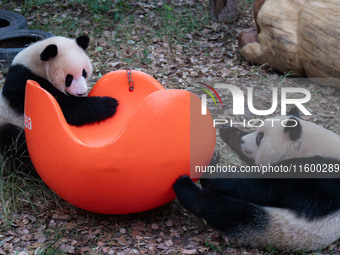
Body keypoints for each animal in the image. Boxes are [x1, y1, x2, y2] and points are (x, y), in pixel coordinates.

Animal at [0, 34, 118, 168]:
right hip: (8, 121)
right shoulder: (23, 82)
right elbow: (64, 108)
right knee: (14, 140)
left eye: (84, 72)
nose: (82, 92)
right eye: (69, 78)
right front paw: (109, 104)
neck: (35, 65)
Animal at [174, 108, 340, 251]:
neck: (309, 147)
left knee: (229, 211)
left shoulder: (315, 175)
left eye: (260, 137)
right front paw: (229, 132)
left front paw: (212, 173)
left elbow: (262, 187)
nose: (243, 141)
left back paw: (187, 186)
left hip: (278, 224)